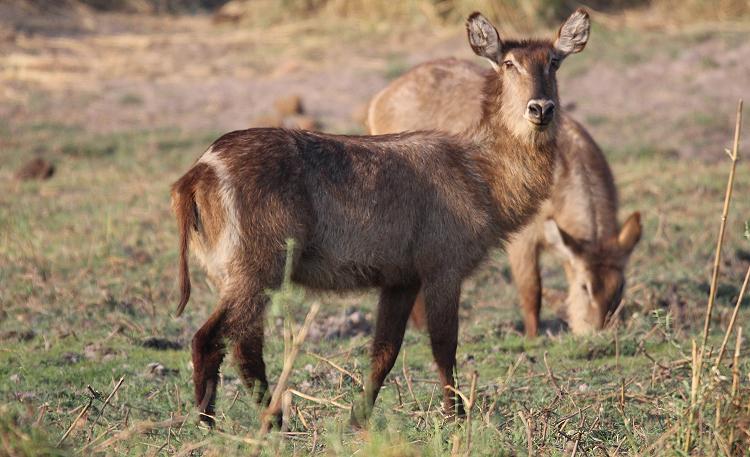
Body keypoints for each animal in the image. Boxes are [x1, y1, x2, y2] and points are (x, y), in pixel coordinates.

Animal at [172, 9, 592, 424]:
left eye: (553, 62)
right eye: (509, 63)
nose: (541, 108)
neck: (480, 170)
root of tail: (198, 171)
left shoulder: (400, 279)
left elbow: (384, 352)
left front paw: (358, 419)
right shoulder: (443, 268)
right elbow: (444, 346)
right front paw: (456, 418)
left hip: (238, 275)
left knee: (242, 344)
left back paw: (267, 422)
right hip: (258, 269)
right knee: (211, 339)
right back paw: (219, 424)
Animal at [368, 56, 644, 334]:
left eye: (620, 286)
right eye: (585, 286)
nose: (600, 332)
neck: (564, 168)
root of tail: (383, 96)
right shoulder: (523, 239)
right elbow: (532, 292)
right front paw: (533, 337)